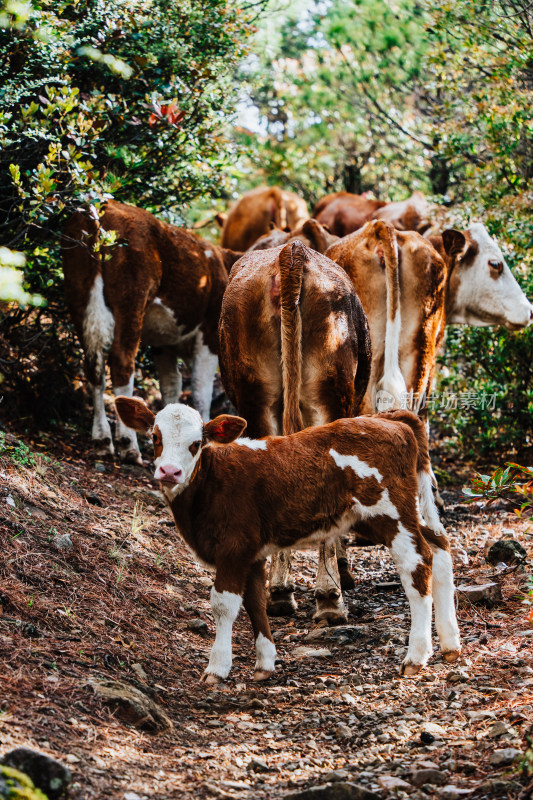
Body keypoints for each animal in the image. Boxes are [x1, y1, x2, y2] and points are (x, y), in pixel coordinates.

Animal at [61, 200, 239, 462]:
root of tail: (102, 206)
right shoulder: (209, 335)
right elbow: (201, 388)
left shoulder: (164, 343)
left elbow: (171, 383)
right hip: (132, 297)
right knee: (122, 362)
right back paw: (128, 444)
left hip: (78, 289)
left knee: (93, 365)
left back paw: (102, 440)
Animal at [115, 396, 462, 684]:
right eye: (155, 437)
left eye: (196, 443)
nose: (169, 472)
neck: (209, 483)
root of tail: (390, 418)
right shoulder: (252, 552)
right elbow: (255, 601)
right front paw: (265, 663)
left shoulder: (233, 548)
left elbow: (224, 604)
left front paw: (217, 668)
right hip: (408, 511)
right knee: (441, 549)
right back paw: (450, 644)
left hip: (389, 514)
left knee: (418, 564)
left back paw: (416, 656)